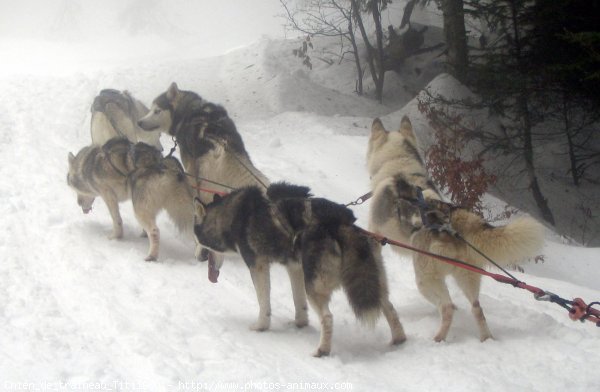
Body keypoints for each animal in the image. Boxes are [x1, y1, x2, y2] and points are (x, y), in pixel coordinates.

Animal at [195, 182, 406, 356]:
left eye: (197, 240)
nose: (198, 257)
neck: (233, 214)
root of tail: (342, 224)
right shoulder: (294, 268)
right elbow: (299, 302)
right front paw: (300, 323)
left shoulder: (258, 265)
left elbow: (264, 303)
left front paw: (260, 326)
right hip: (370, 283)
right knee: (389, 307)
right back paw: (399, 339)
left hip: (314, 286)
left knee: (327, 317)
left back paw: (322, 350)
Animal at [366, 116, 544, 344]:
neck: (399, 166)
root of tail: (455, 220)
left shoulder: (376, 237)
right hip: (466, 277)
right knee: (477, 309)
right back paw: (485, 339)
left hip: (425, 280)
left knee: (448, 307)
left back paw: (438, 338)